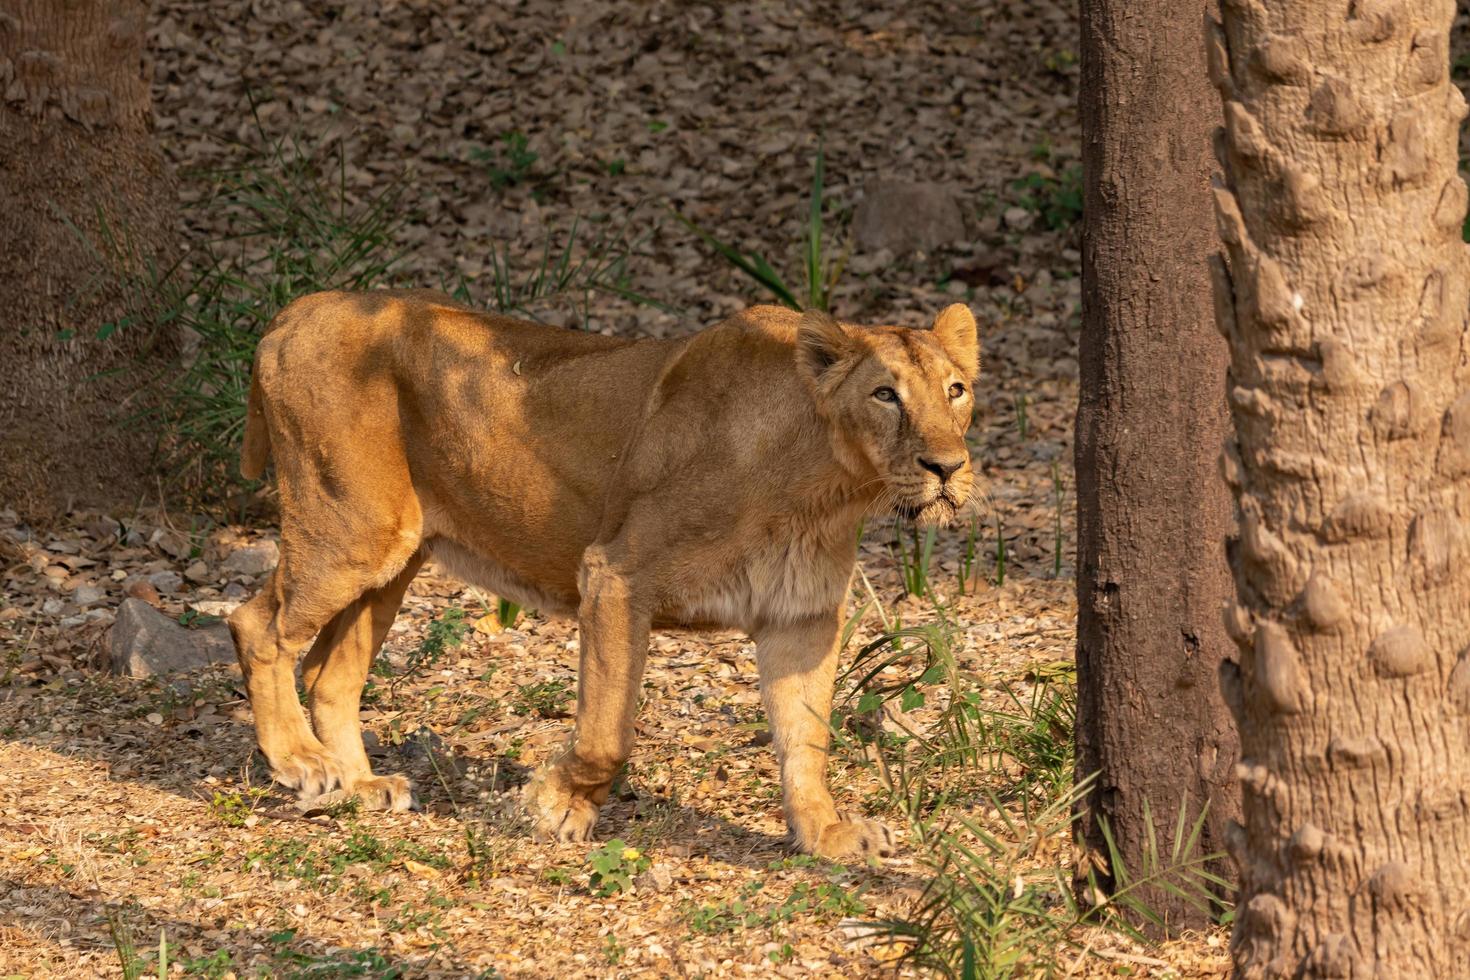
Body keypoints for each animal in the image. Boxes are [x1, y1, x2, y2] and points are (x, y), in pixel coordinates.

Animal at [229, 290, 981, 858]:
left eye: (956, 391)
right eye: (885, 395)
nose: (947, 467)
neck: (824, 487)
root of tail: (299, 309)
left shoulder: (801, 616)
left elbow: (807, 739)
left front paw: (826, 833)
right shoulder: (616, 574)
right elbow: (607, 732)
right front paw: (551, 806)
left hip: (393, 558)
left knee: (330, 673)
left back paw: (359, 787)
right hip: (348, 533)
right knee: (255, 625)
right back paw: (300, 761)